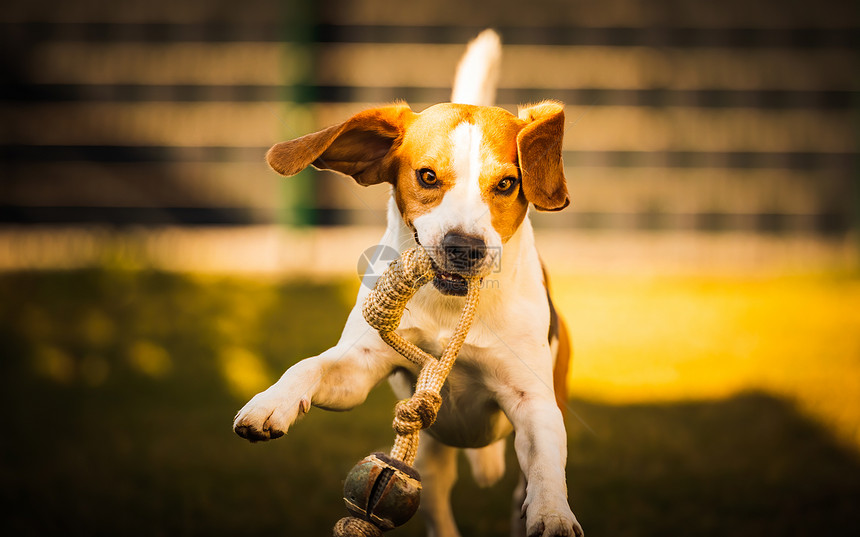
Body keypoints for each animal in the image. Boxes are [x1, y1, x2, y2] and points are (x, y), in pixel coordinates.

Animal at [233, 30, 584, 536]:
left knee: (518, 488)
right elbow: (310, 366)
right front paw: (271, 402)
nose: (464, 247)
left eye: (506, 183)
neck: (450, 309)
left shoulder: (533, 401)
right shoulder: (359, 368)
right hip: (429, 462)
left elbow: (545, 469)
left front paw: (554, 514)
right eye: (428, 176)